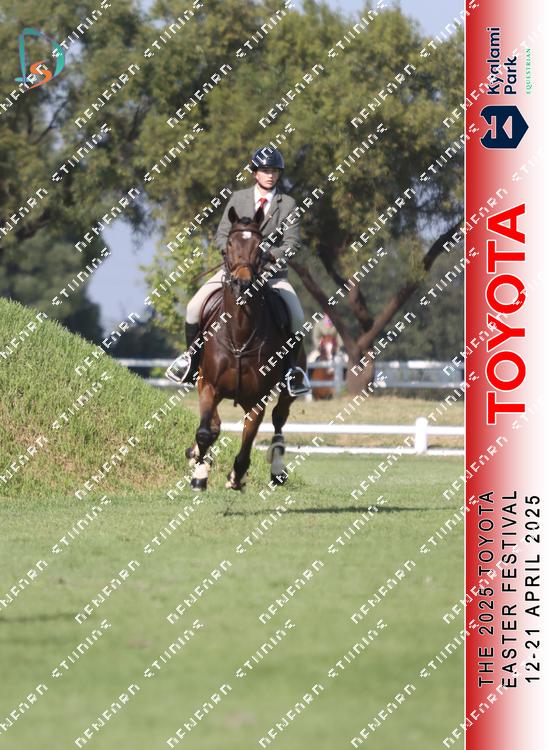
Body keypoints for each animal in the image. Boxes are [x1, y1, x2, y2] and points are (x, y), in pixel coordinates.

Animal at [186, 205, 305, 491]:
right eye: (229, 243)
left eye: (259, 245)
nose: (242, 283)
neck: (239, 333)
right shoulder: (208, 385)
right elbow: (205, 431)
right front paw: (199, 473)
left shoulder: (257, 400)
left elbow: (247, 441)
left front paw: (236, 476)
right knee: (215, 425)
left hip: (288, 391)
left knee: (279, 421)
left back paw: (277, 469)